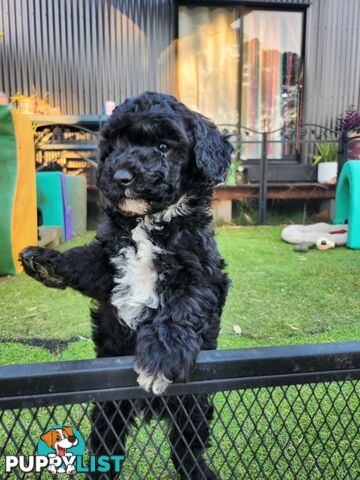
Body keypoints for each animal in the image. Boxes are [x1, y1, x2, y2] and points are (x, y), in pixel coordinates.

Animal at [21, 92, 232, 478]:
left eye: (164, 147)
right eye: (115, 146)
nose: (120, 176)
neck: (147, 222)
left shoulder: (205, 273)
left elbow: (183, 307)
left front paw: (162, 354)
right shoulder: (107, 266)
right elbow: (83, 261)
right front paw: (44, 260)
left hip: (195, 403)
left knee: (186, 444)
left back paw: (198, 469)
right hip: (108, 406)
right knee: (108, 441)